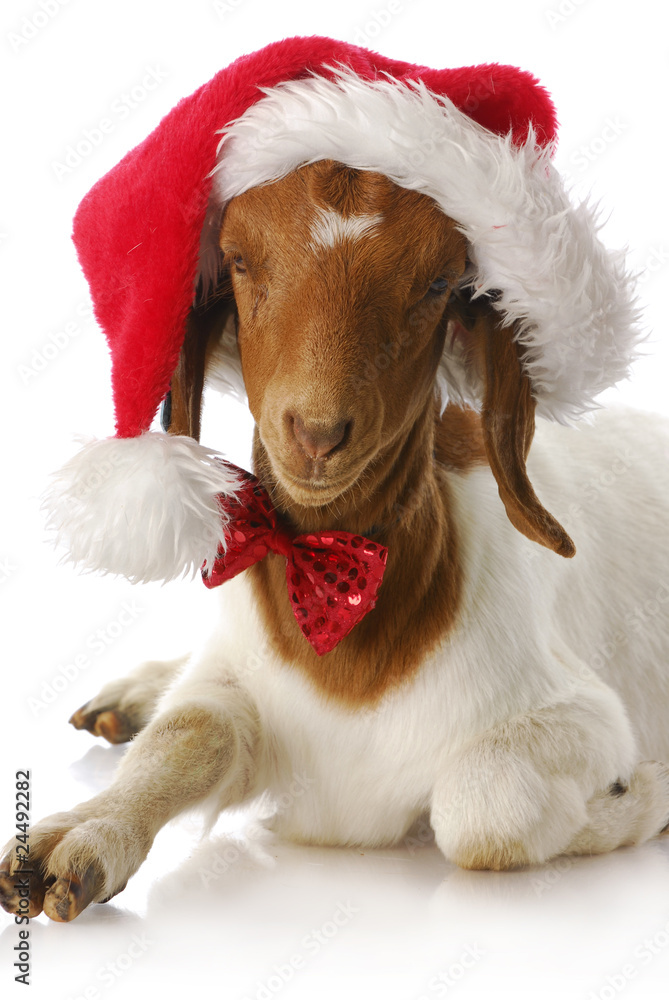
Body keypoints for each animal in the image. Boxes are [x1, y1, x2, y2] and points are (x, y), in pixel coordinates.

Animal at [2, 156, 669, 923]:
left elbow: (480, 810)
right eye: (238, 260)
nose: (317, 434)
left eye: (438, 283)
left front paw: (642, 796)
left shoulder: (579, 710)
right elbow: (187, 733)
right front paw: (83, 830)